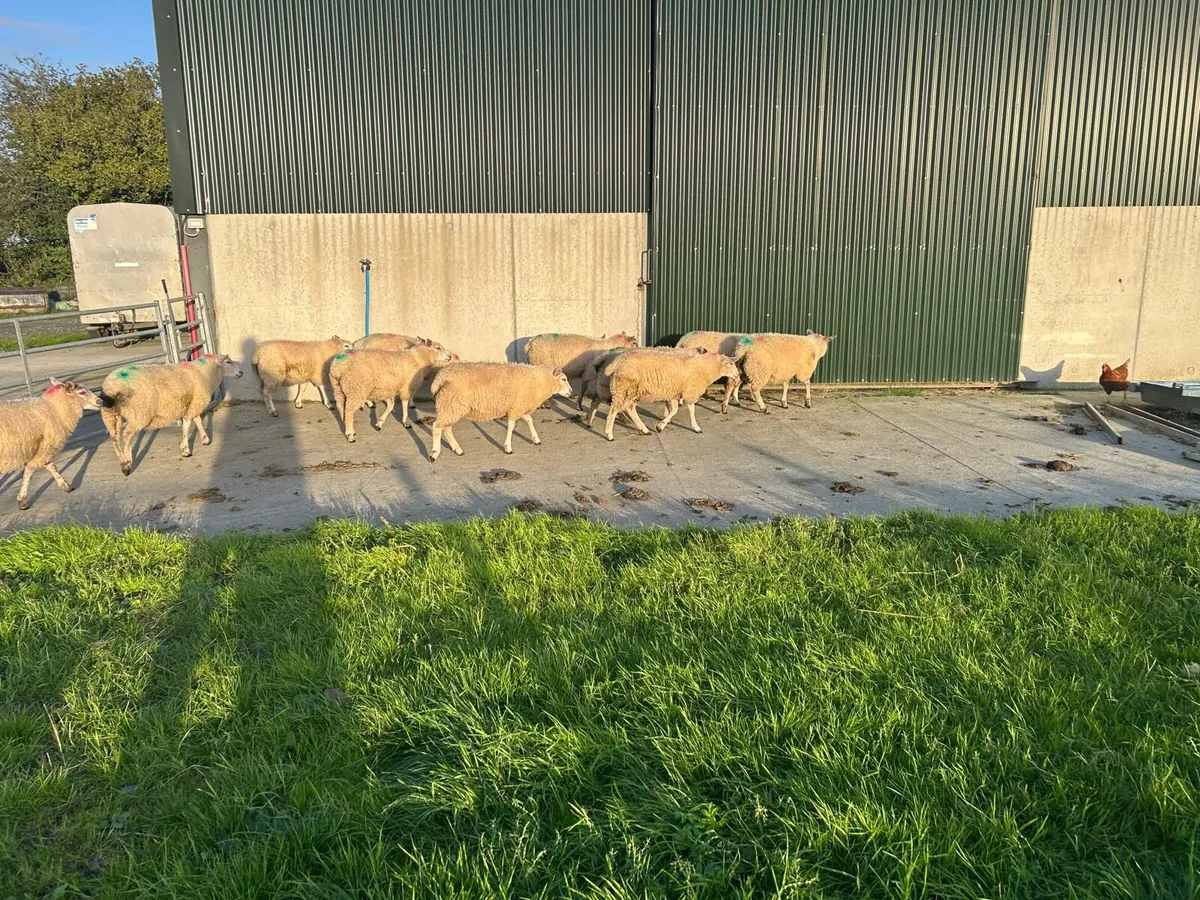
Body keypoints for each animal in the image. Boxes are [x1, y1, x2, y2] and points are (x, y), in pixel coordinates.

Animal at [0, 379, 101, 510]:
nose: (100, 401)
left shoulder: (45, 446)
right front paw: (22, 501)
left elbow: (51, 466)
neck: (54, 409)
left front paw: (66, 486)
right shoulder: (46, 445)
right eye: (81, 392)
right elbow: (30, 470)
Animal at [98, 353, 244, 476]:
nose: (241, 372)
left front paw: (204, 439)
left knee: (114, 437)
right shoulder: (195, 403)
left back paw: (122, 462)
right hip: (138, 413)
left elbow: (197, 420)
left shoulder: (193, 403)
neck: (204, 372)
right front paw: (185, 450)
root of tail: (112, 386)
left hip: (110, 416)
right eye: (228, 362)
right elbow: (187, 424)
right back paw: (127, 466)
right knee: (127, 435)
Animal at [428, 363, 571, 461]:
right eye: (564, 379)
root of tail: (438, 378)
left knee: (446, 428)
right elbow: (511, 426)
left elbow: (529, 420)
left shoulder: (519, 406)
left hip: (450, 406)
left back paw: (457, 449)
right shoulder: (515, 408)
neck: (538, 381)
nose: (571, 392)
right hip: (452, 404)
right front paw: (508, 447)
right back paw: (434, 454)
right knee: (437, 427)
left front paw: (536, 439)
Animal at [603, 351, 740, 441]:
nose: (738, 375)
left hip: (631, 391)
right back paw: (609, 434)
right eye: (730, 364)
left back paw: (644, 429)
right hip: (623, 388)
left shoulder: (674, 392)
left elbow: (674, 410)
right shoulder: (689, 391)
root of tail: (617, 362)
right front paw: (696, 427)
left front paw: (660, 426)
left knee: (630, 408)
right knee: (614, 409)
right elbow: (691, 409)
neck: (704, 368)